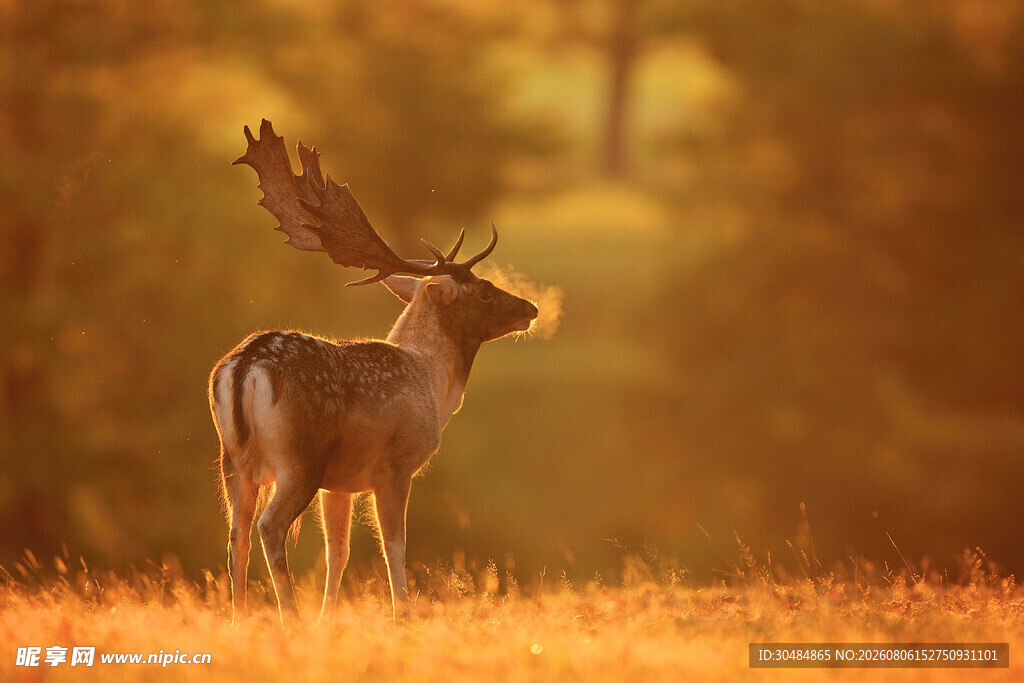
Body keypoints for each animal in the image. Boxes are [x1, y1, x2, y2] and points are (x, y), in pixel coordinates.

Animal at [208, 119, 538, 626]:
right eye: (484, 291)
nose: (531, 308)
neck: (432, 384)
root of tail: (244, 366)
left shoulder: (340, 484)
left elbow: (338, 553)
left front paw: (328, 618)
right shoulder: (394, 464)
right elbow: (394, 547)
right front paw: (403, 615)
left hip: (234, 462)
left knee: (235, 536)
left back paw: (239, 619)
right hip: (299, 459)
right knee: (269, 527)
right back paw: (290, 619)